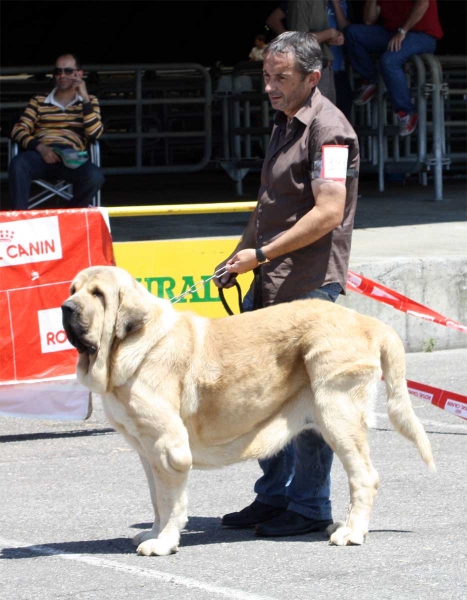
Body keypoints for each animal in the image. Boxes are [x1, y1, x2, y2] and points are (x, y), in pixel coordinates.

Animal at [61, 264, 436, 556]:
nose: (66, 307)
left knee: (364, 477)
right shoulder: (147, 450)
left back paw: (352, 532)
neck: (131, 346)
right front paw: (153, 533)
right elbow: (156, 498)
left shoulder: (168, 449)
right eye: (73, 290)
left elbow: (170, 502)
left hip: (337, 414)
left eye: (98, 294)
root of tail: (366, 322)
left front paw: (163, 542)